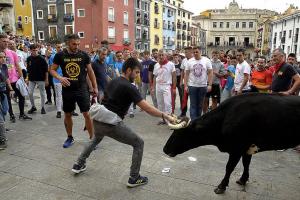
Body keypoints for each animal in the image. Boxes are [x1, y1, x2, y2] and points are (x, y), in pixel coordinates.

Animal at [164, 93, 300, 194]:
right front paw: (243, 180)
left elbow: (229, 167)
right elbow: (246, 164)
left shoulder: (236, 149)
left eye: (179, 134)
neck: (225, 117)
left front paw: (221, 186)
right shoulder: (247, 148)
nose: (165, 149)